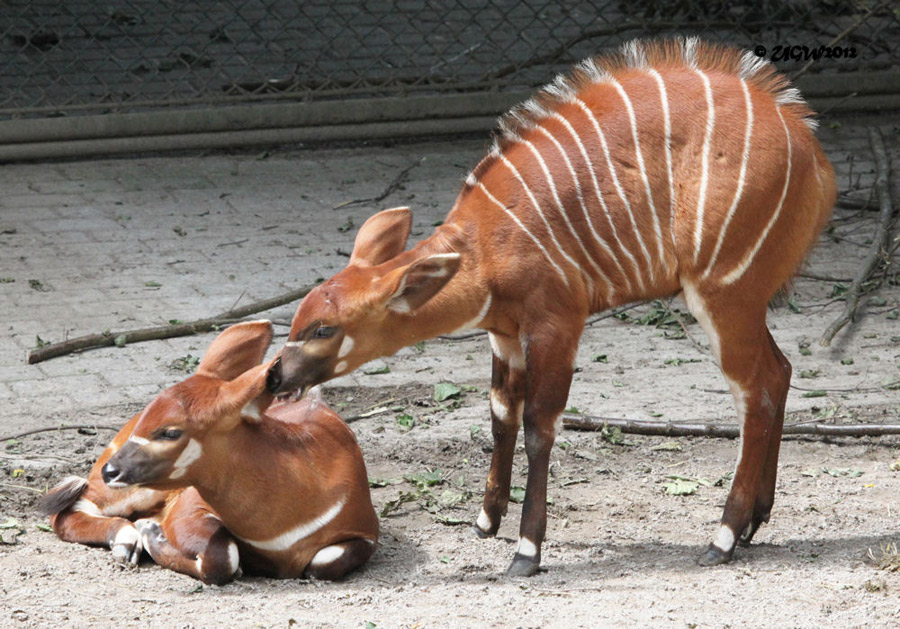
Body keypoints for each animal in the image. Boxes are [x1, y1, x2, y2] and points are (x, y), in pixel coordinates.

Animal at [40, 322, 378, 580]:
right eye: (150, 413)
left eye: (170, 431)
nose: (112, 469)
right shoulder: (190, 507)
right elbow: (223, 557)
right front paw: (151, 532)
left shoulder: (365, 534)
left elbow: (323, 564)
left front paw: (150, 531)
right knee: (69, 510)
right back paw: (126, 539)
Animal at [268, 35, 836, 576]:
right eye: (295, 320)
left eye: (323, 328)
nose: (274, 377)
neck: (483, 248)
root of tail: (813, 152)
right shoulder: (504, 333)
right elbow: (501, 413)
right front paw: (486, 521)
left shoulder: (556, 321)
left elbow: (540, 426)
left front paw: (526, 550)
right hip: (746, 297)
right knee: (780, 371)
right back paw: (755, 522)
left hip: (722, 292)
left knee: (754, 392)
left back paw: (723, 538)